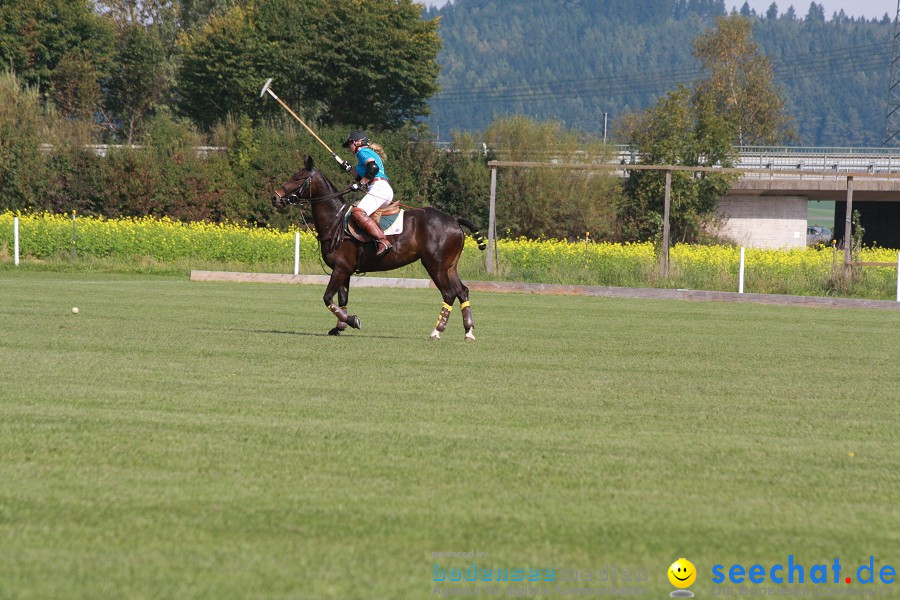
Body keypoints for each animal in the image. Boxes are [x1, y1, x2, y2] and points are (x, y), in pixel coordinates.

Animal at [272, 155, 486, 340]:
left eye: (298, 178)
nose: (275, 198)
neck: (334, 220)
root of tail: (454, 220)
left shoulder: (341, 268)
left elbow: (327, 298)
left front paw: (353, 321)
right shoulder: (345, 270)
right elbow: (342, 300)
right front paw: (340, 326)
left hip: (435, 265)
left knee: (449, 293)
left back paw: (437, 330)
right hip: (450, 266)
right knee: (462, 291)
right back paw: (468, 332)